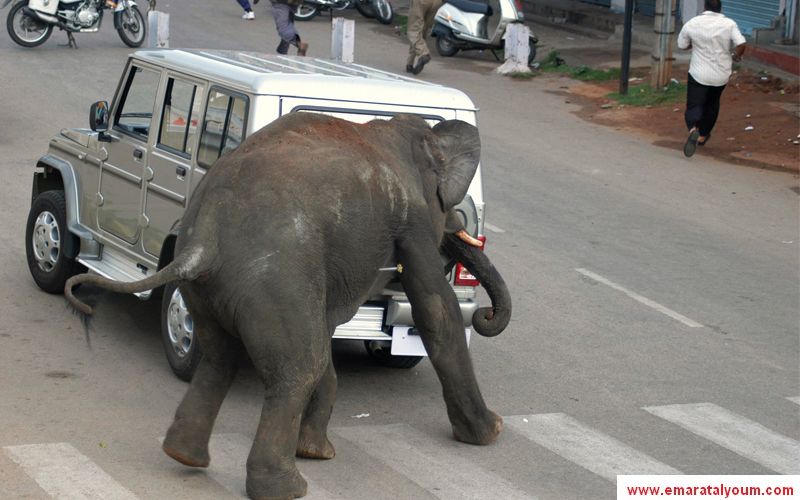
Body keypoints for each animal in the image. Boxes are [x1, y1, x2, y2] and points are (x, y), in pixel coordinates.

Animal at [64, 112, 512, 500]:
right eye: (447, 205)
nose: (486, 315)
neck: (395, 129)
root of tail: (205, 238)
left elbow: (328, 328)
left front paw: (317, 451)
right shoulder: (413, 219)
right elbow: (437, 314)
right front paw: (490, 433)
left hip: (215, 292)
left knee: (221, 359)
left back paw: (184, 456)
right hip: (274, 279)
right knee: (298, 366)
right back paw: (285, 489)